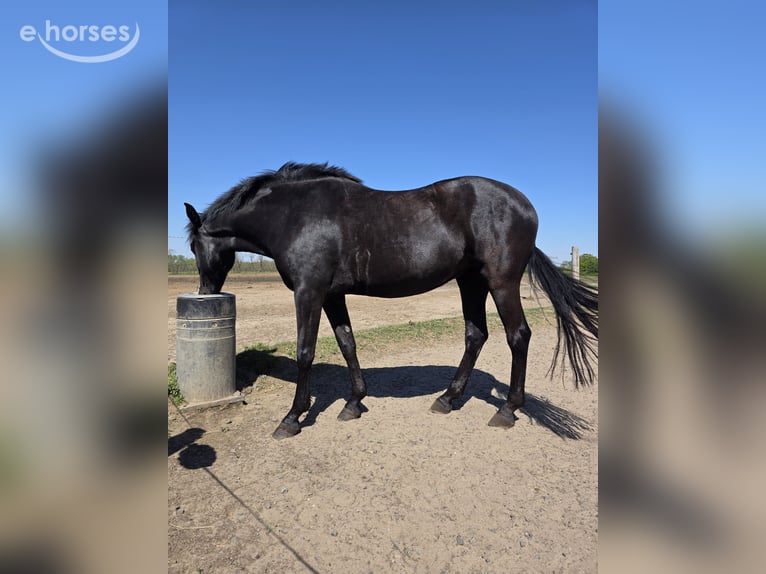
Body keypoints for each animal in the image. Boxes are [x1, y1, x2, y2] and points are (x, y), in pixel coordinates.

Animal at [185, 162, 598, 439]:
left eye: (194, 247)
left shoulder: (309, 291)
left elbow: (305, 351)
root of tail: (524, 204)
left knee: (518, 337)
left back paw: (508, 410)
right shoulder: (333, 295)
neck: (295, 214)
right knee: (475, 335)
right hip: (470, 283)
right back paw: (447, 398)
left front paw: (293, 418)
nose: (205, 292)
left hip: (502, 283)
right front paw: (353, 403)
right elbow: (347, 344)